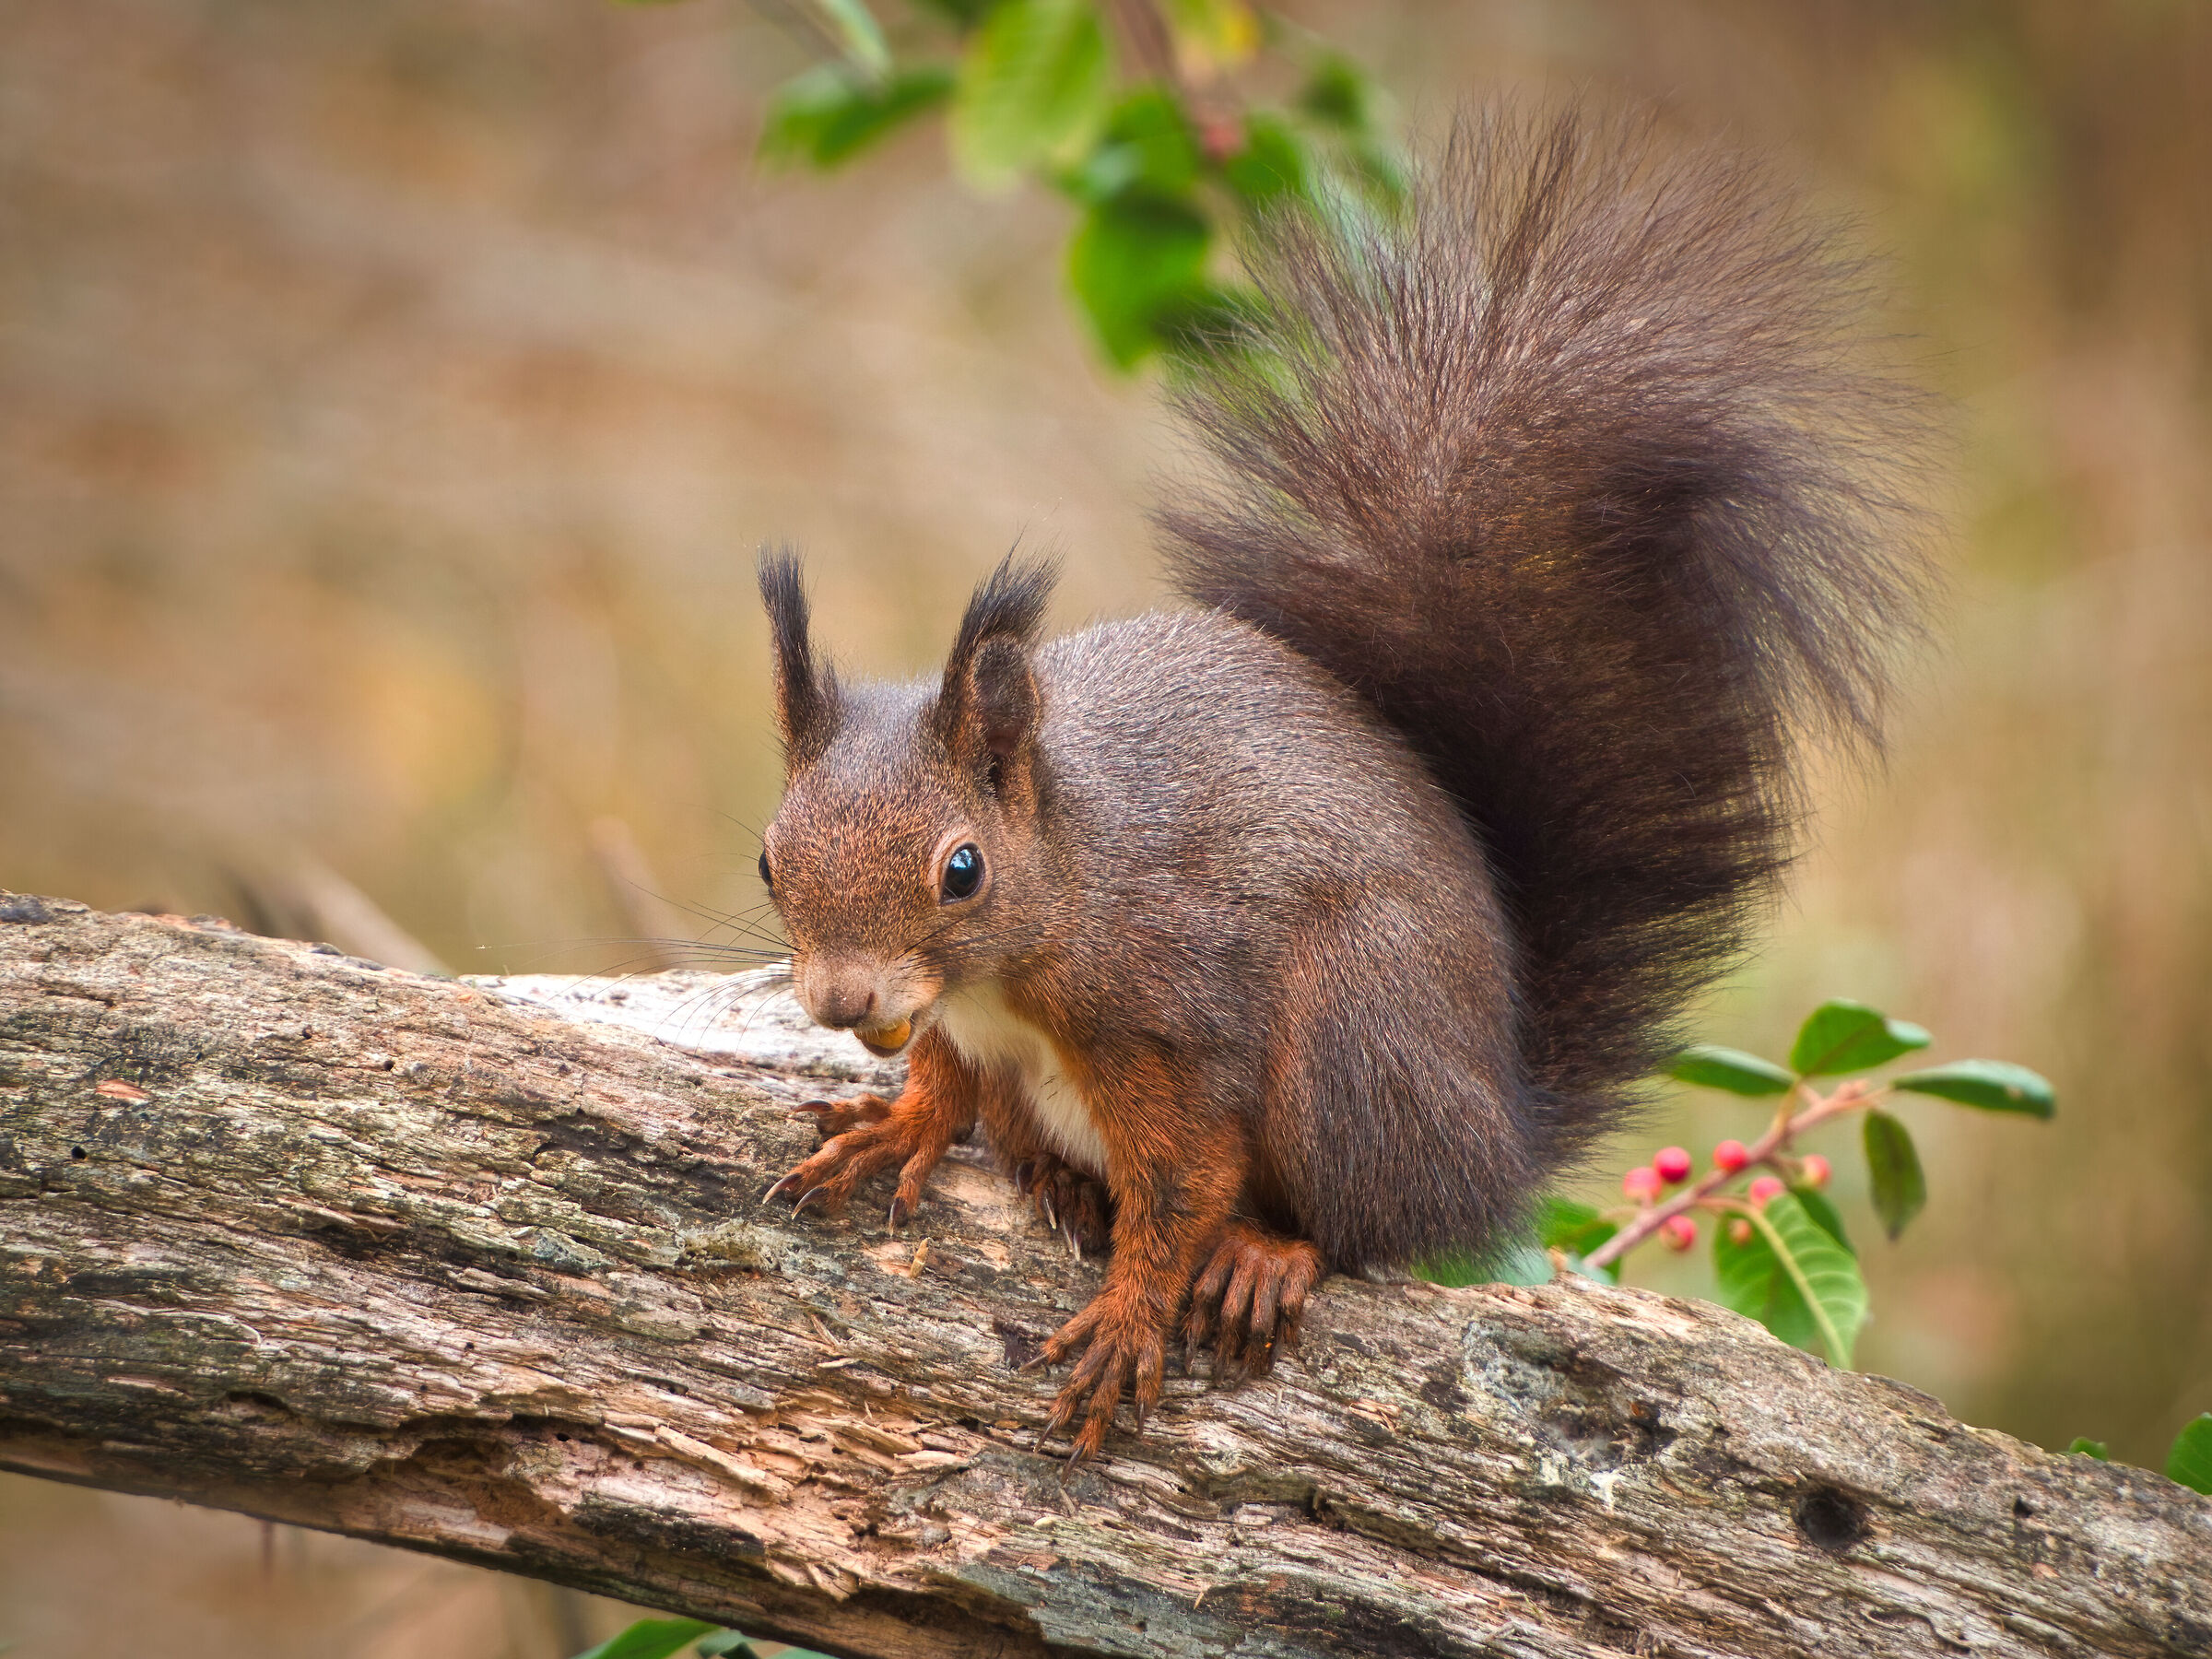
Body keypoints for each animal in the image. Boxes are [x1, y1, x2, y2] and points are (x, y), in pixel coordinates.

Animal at [754, 106, 1931, 1464]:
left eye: (962, 869)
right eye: (769, 858)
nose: (842, 1001)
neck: (1040, 925)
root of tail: (1497, 1134)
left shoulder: (1178, 1017)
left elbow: (1183, 1185)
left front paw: (1130, 1316)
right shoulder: (959, 1025)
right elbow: (946, 1080)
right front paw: (894, 1123)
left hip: (1352, 1041)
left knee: (1364, 1231)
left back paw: (1269, 1256)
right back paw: (1051, 1177)